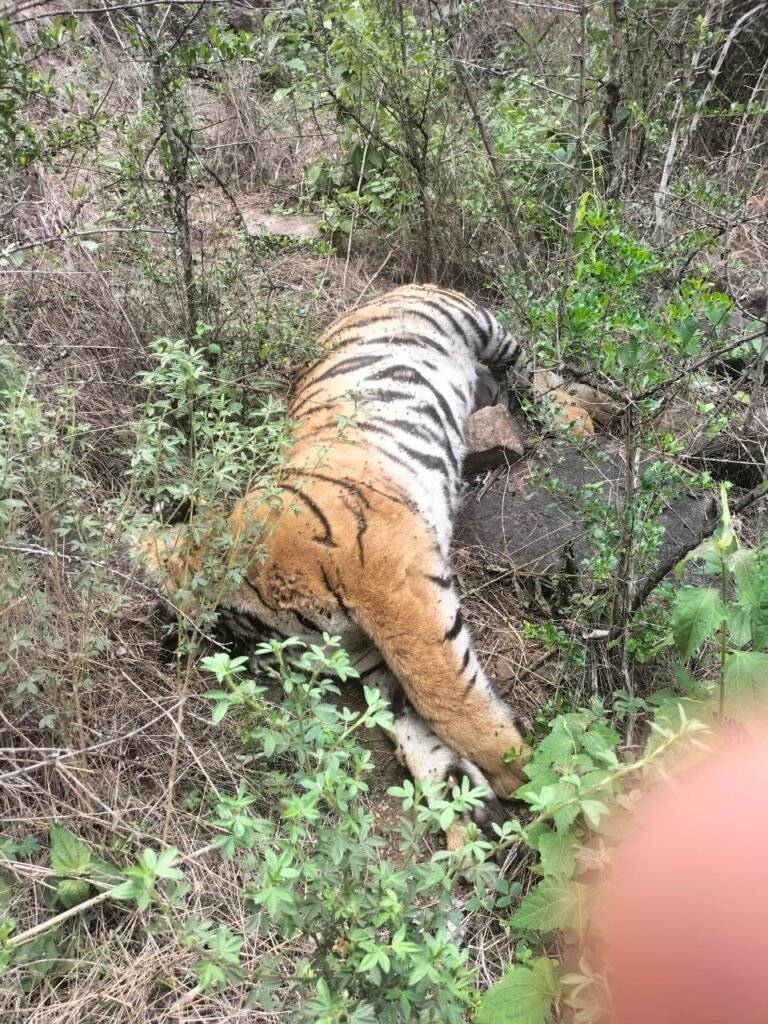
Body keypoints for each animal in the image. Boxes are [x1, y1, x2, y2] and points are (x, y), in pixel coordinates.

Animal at [141, 284, 584, 832]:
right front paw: (466, 807)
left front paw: (523, 770)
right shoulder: (370, 657)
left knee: (534, 365)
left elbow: (441, 694)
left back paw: (575, 417)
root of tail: (384, 291)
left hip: (478, 324)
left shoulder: (395, 589)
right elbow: (414, 728)